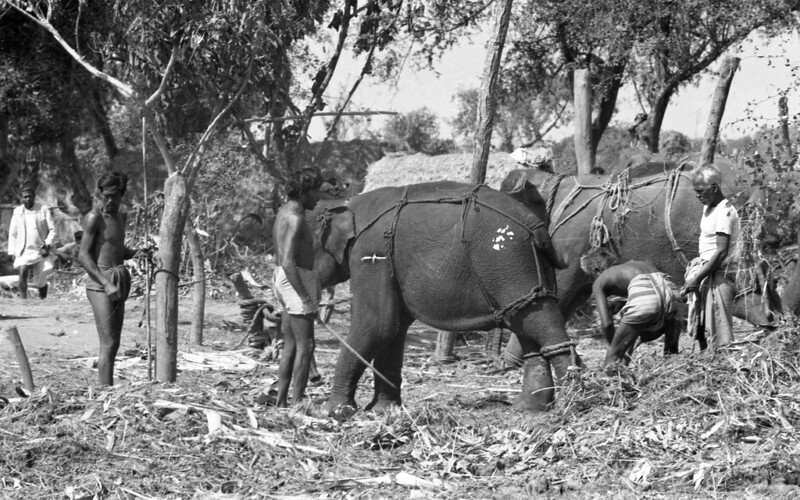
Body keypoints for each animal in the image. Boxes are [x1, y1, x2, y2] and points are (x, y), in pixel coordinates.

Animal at [309, 181, 574, 418]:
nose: (315, 378)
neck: (348, 202)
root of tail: (537, 227)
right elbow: (394, 329)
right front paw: (383, 411)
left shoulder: (372, 255)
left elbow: (377, 324)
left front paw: (333, 413)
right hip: (526, 272)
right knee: (527, 325)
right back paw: (530, 407)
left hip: (510, 262)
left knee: (542, 323)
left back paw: (575, 400)